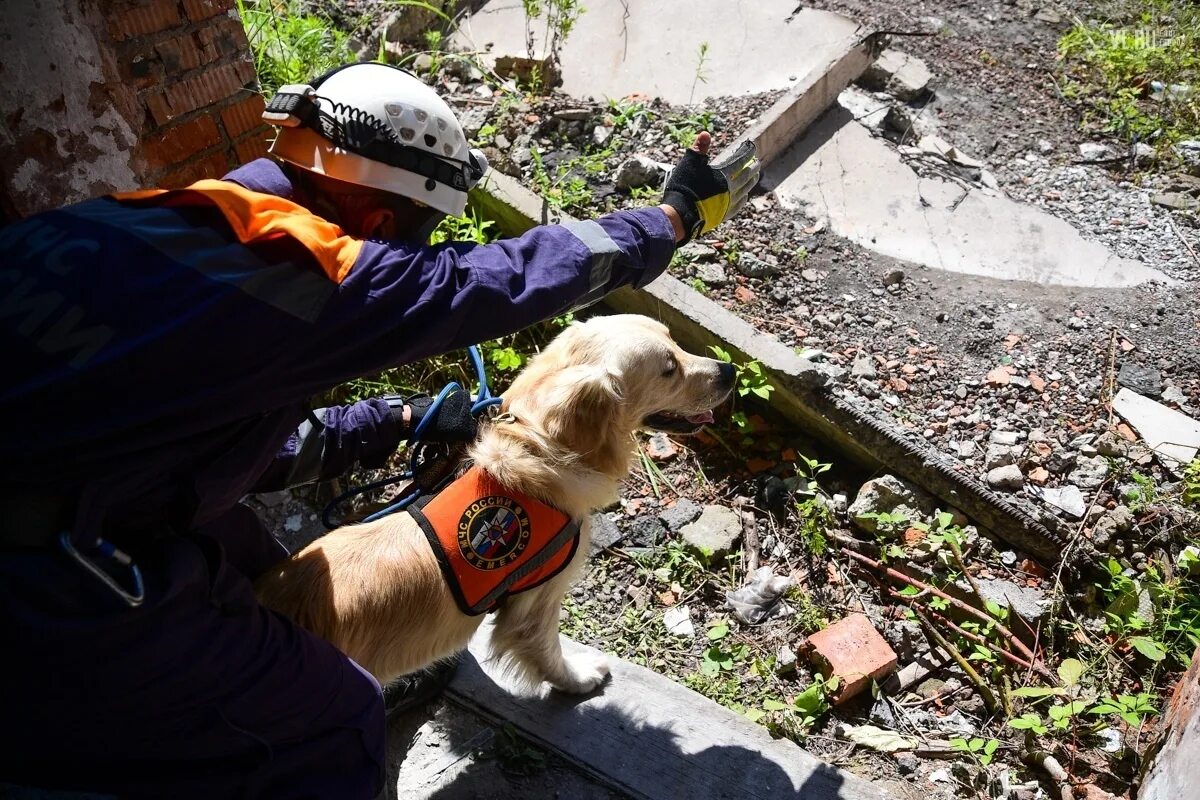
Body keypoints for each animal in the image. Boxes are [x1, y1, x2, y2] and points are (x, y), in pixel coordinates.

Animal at [258, 311, 734, 695]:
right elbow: (549, 651)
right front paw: (579, 679)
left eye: (675, 341)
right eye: (669, 368)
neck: (538, 446)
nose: (728, 370)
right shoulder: (537, 598)